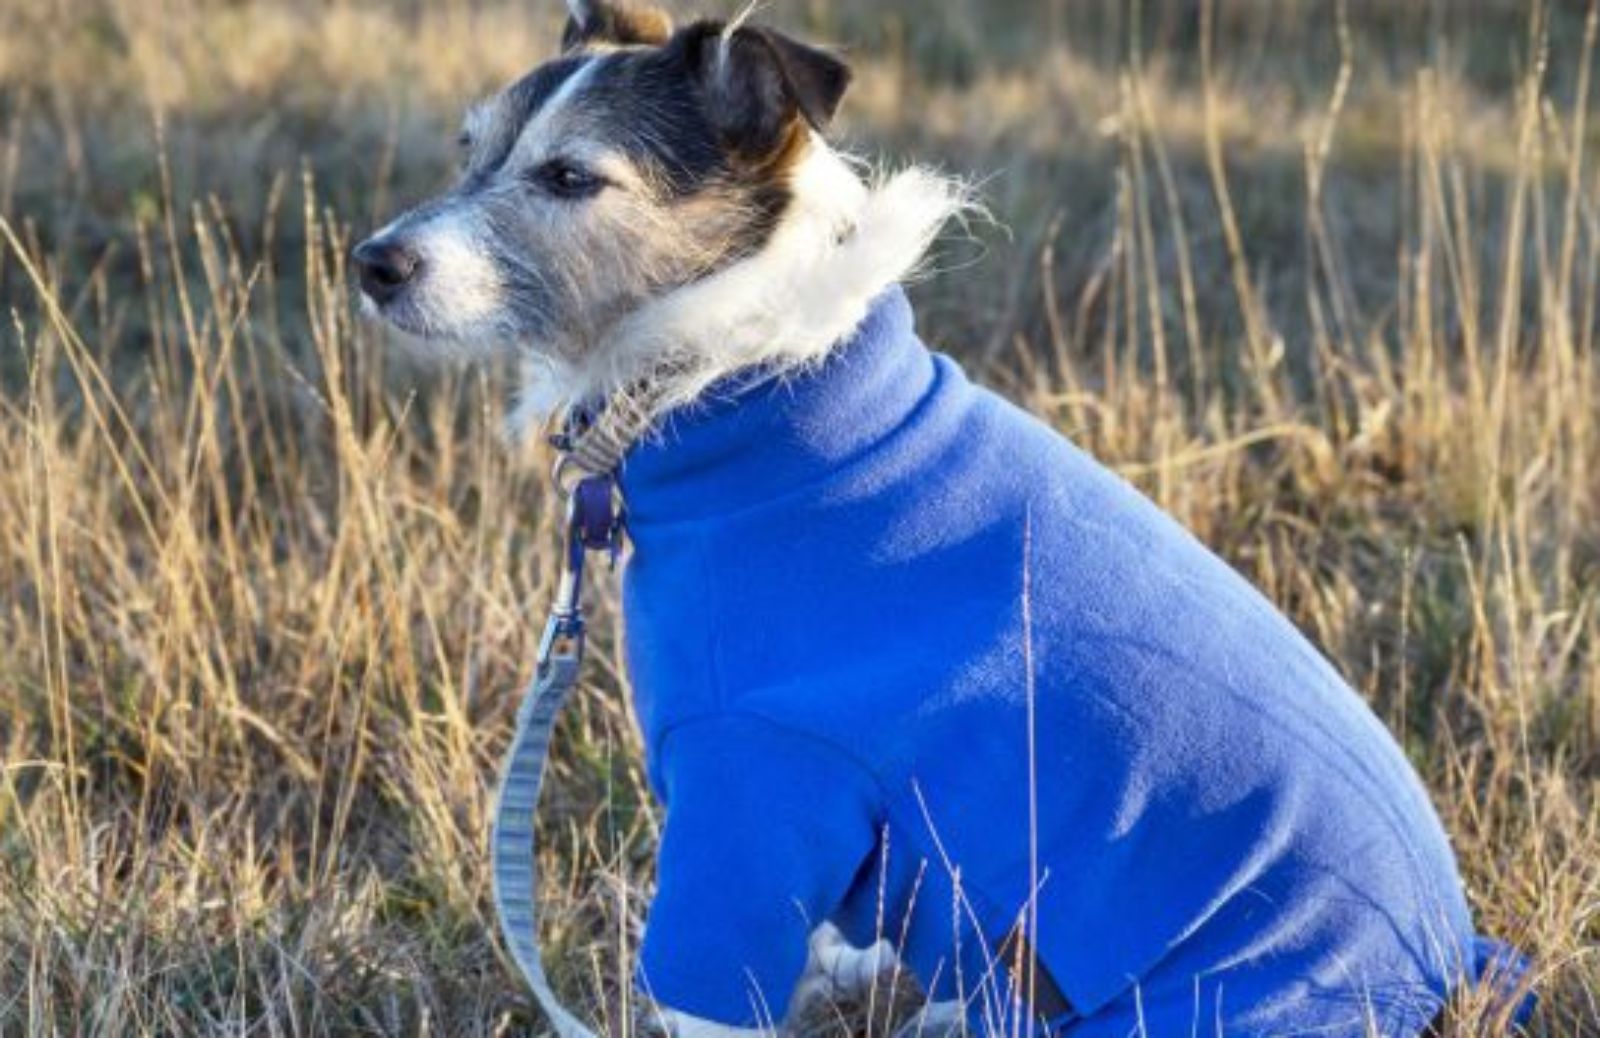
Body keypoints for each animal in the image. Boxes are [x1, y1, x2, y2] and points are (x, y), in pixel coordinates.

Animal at [356, 4, 1529, 1030]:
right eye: (468, 149)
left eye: (570, 177)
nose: (373, 263)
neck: (743, 369)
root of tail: (1446, 969)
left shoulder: (754, 786)